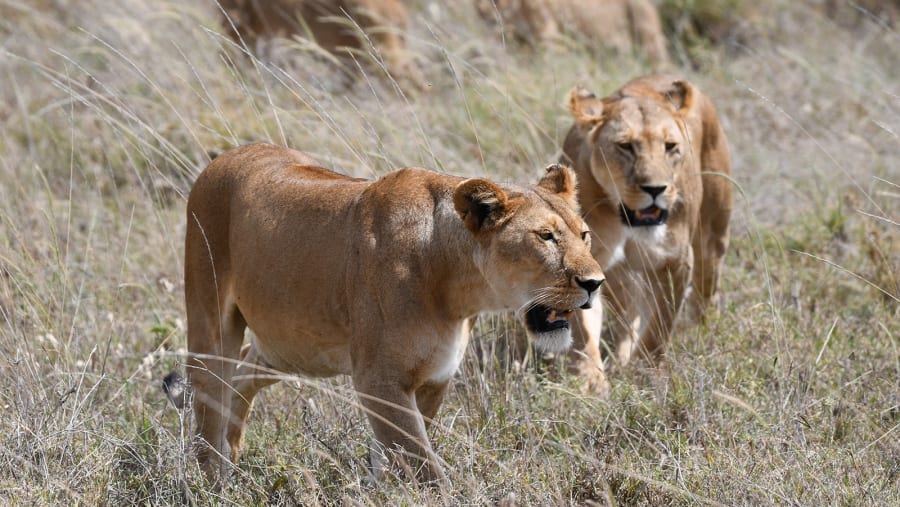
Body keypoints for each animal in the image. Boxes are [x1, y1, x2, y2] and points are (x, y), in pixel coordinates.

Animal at [181, 143, 604, 482]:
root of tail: (228, 155)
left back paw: (233, 453)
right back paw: (214, 481)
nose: (596, 283)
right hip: (210, 321)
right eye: (545, 237)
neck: (456, 285)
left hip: (288, 346)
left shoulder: (435, 377)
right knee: (209, 399)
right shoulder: (378, 380)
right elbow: (425, 465)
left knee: (243, 371)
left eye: (584, 235)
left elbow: (398, 456)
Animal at [560, 75, 733, 395]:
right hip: (620, 275)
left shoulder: (675, 261)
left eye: (670, 146)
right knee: (630, 312)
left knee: (707, 289)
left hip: (713, 235)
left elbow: (660, 326)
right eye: (625, 146)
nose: (656, 189)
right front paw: (591, 382)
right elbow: (583, 330)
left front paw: (645, 374)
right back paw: (620, 358)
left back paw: (705, 331)